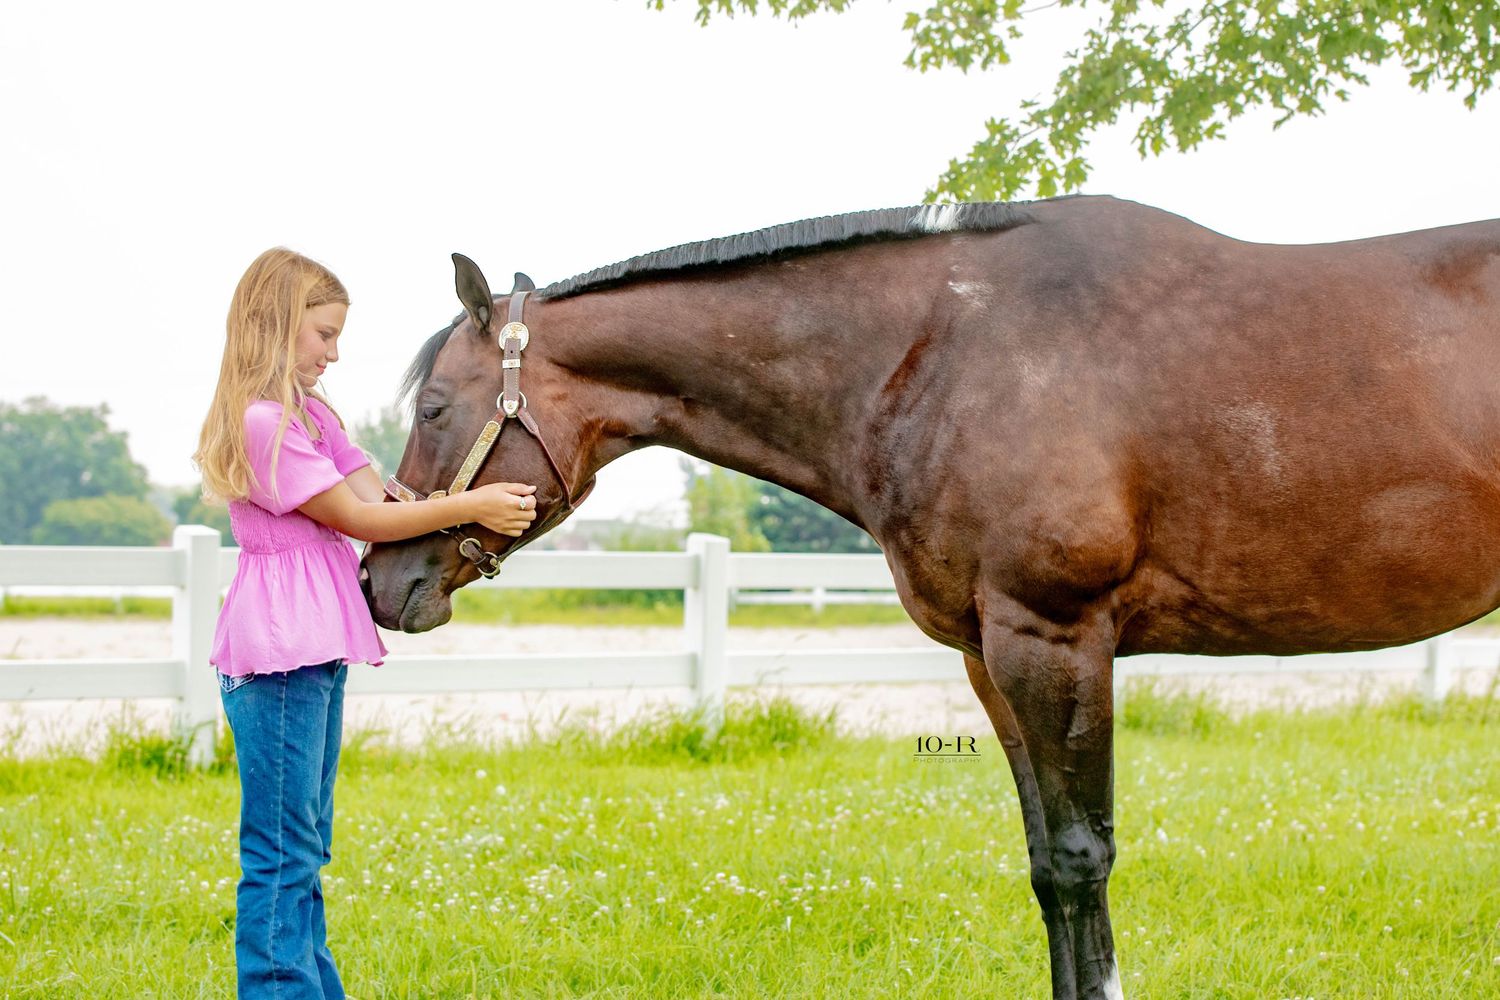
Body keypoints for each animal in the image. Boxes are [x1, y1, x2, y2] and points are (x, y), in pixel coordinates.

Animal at [358, 195, 1500, 999]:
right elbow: (1047, 866)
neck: (945, 351)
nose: (381, 581)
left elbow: (1083, 858)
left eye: (434, 403)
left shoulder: (1057, 638)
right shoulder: (991, 655)